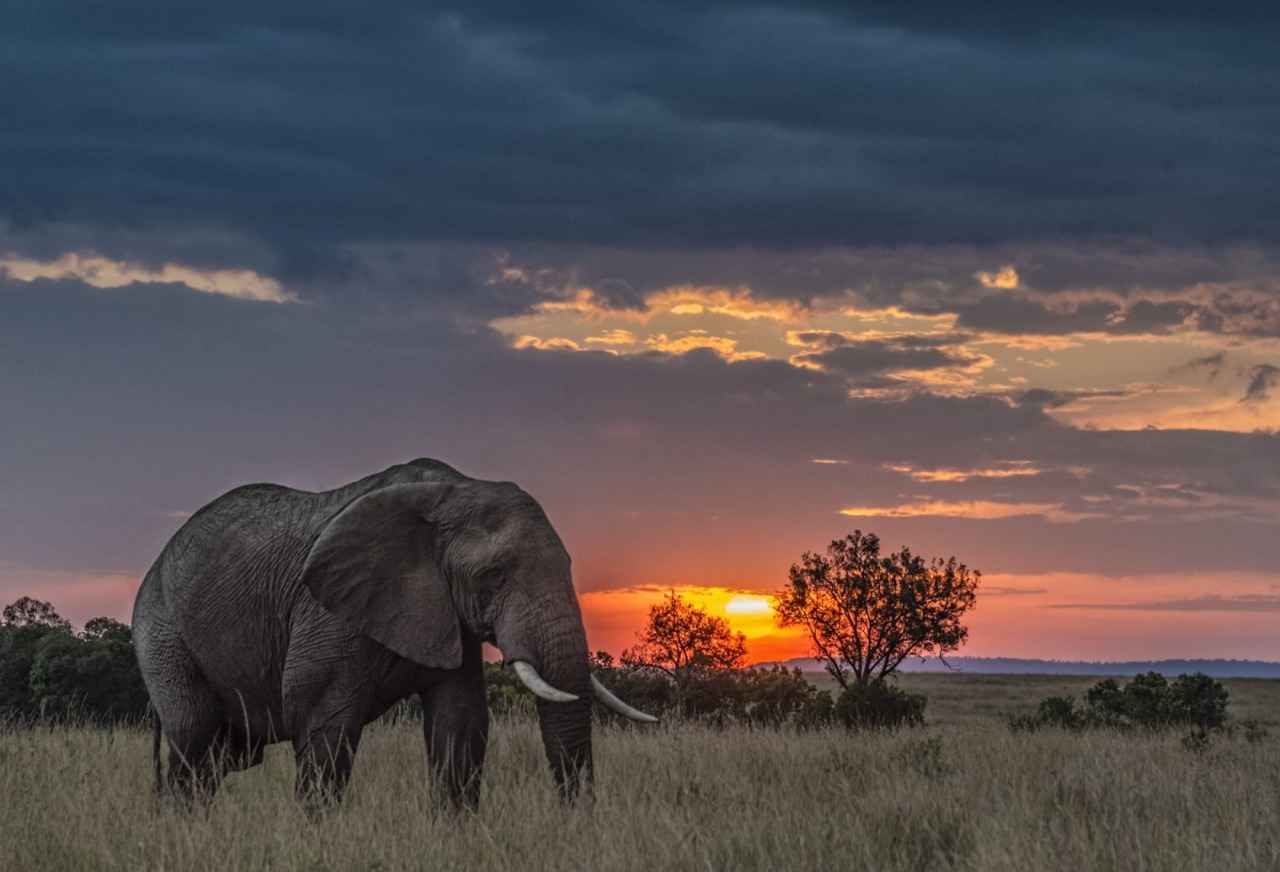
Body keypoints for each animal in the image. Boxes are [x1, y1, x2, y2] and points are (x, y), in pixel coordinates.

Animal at [131, 458, 655, 804]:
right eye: (494, 575)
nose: (575, 816)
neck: (452, 491)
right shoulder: (328, 609)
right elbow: (323, 722)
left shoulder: (446, 614)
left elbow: (460, 724)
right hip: (161, 630)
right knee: (193, 736)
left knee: (220, 757)